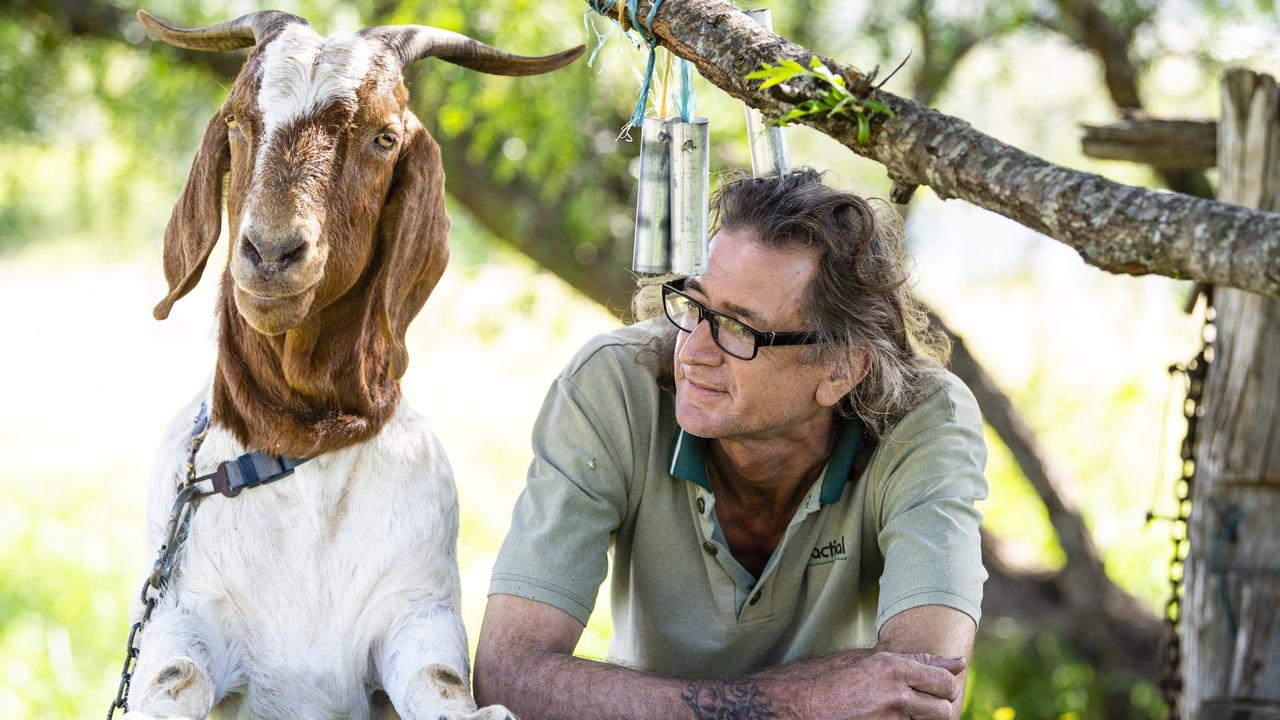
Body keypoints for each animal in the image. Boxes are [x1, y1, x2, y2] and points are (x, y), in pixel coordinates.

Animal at [122, 11, 583, 717]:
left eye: (383, 137)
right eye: (236, 121)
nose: (271, 252)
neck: (300, 445)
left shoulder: (417, 609)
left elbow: (439, 681)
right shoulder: (179, 611)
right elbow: (175, 676)